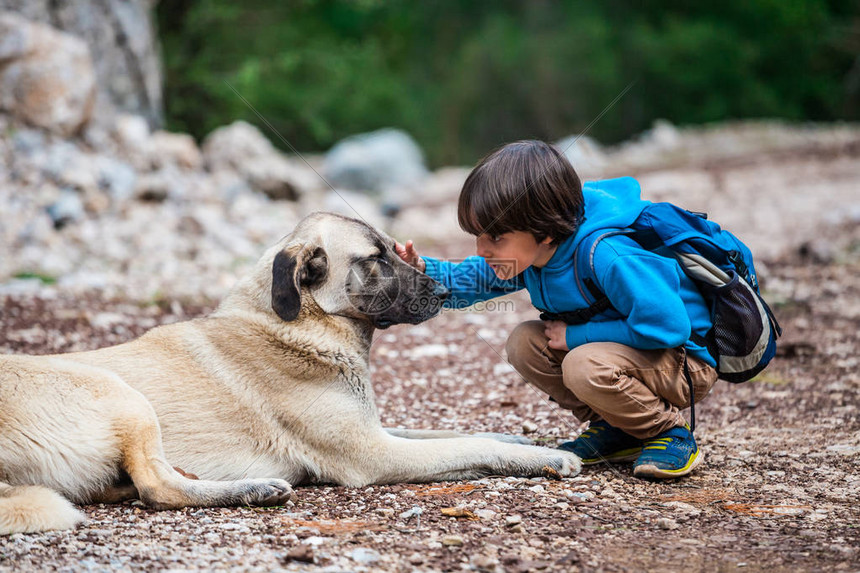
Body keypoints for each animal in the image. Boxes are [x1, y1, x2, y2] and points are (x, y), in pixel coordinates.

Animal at [0, 212, 580, 536]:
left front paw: (522, 438)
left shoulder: (376, 428)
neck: (302, 323)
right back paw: (255, 489)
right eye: (375, 258)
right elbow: (470, 446)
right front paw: (548, 458)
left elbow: (457, 431)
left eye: (395, 249)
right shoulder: (374, 453)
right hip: (121, 393)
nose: (440, 292)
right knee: (157, 489)